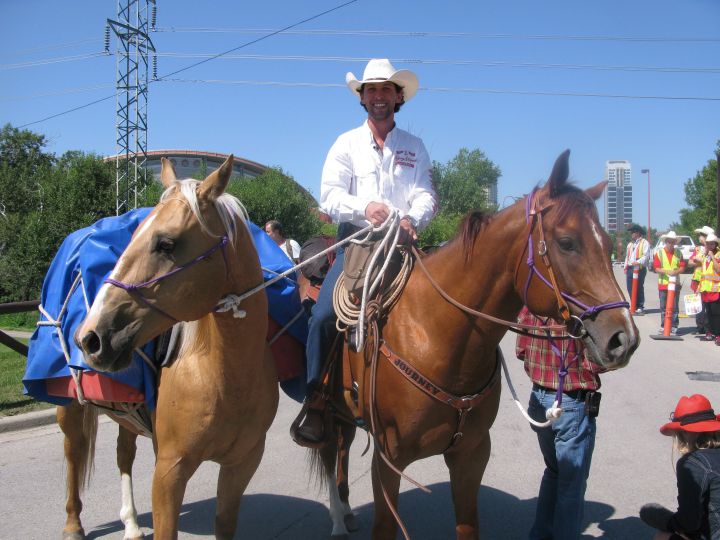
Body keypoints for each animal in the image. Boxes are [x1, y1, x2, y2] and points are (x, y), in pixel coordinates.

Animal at [71, 154, 278, 536]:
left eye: (165, 243)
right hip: (70, 409)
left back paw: (131, 524)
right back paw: (73, 524)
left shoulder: (241, 465)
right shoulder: (170, 470)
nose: (89, 337)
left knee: (124, 453)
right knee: (73, 455)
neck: (225, 376)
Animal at [318, 149, 640, 540]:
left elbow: (468, 524)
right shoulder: (388, 460)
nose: (623, 338)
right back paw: (337, 518)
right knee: (329, 451)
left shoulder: (472, 454)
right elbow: (384, 527)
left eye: (609, 245)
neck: (435, 335)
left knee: (342, 451)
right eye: (567, 243)